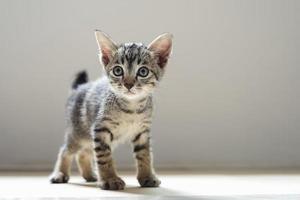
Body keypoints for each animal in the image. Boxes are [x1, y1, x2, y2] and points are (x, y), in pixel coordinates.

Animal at [49, 30, 173, 190]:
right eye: (118, 70)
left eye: (143, 71)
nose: (128, 84)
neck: (131, 108)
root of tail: (78, 89)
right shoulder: (100, 130)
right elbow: (104, 157)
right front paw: (110, 179)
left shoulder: (142, 132)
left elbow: (144, 155)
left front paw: (147, 177)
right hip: (78, 133)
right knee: (65, 151)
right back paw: (60, 174)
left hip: (88, 136)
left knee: (83, 153)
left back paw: (89, 175)